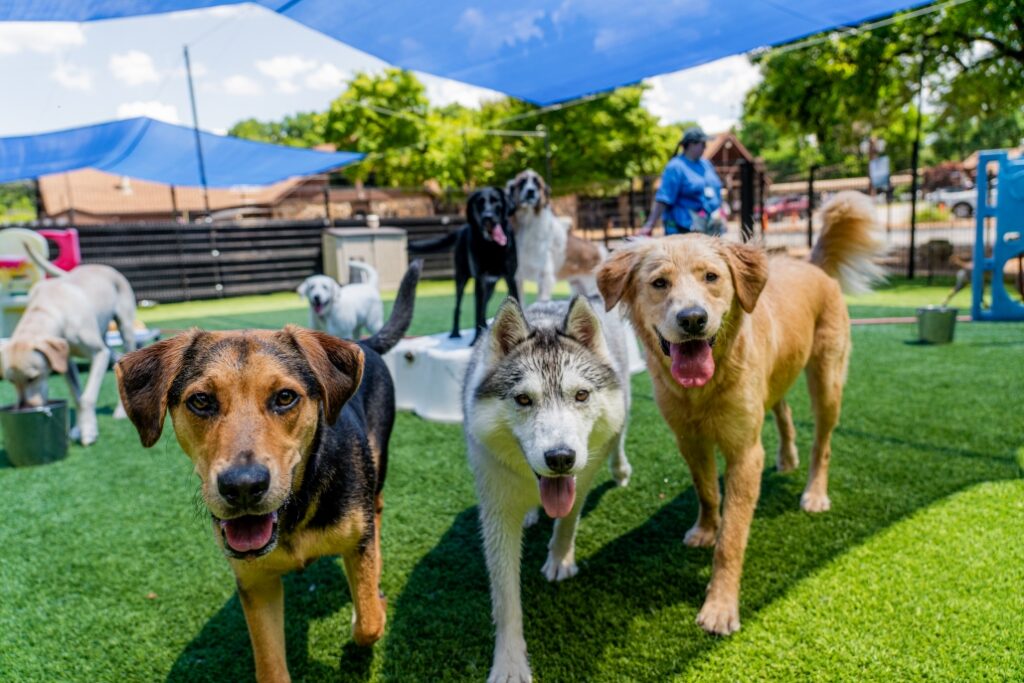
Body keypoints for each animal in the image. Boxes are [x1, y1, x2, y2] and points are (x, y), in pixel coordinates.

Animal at [409, 187, 520, 342]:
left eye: (496, 201)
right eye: (479, 203)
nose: (487, 217)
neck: (491, 246)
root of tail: (462, 228)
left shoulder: (510, 277)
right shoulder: (479, 280)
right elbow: (477, 312)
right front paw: (475, 339)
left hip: (490, 286)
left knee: (484, 305)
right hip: (461, 278)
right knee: (459, 306)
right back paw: (455, 333)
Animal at [462, 294, 630, 683]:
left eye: (581, 395)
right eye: (523, 399)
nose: (560, 458)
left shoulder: (582, 477)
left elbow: (567, 520)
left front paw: (560, 559)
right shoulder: (497, 510)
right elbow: (506, 598)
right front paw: (510, 664)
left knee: (619, 437)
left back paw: (620, 469)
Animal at [598, 191, 884, 634]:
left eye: (711, 277)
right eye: (659, 283)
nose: (693, 319)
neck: (703, 388)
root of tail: (812, 265)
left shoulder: (745, 453)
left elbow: (731, 540)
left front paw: (720, 605)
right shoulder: (690, 440)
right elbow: (706, 492)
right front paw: (705, 529)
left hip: (827, 383)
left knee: (823, 444)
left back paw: (814, 492)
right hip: (778, 377)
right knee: (784, 412)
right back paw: (787, 457)